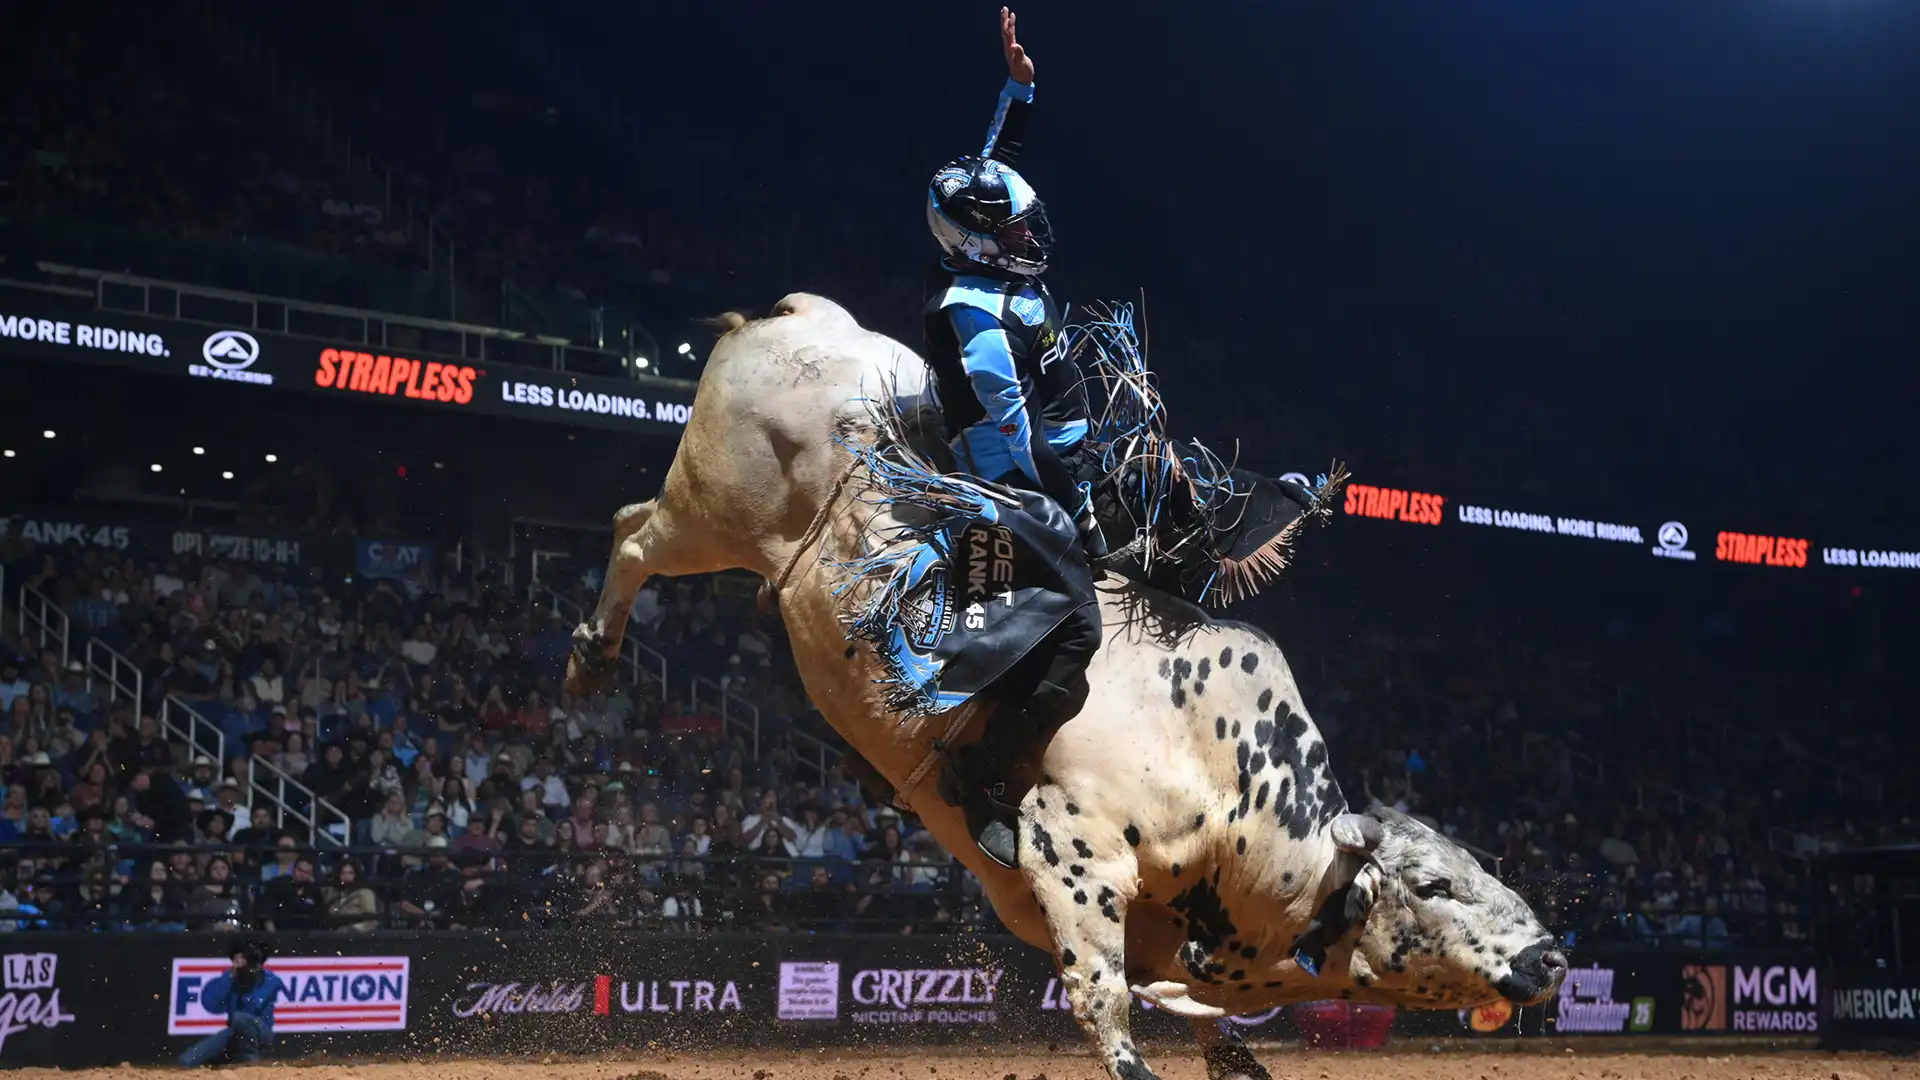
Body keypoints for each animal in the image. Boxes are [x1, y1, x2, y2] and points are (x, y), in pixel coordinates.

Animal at [566, 294, 1566, 1080]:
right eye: (1434, 885)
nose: (1553, 960)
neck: (1225, 782)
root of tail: (802, 317)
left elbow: (1192, 1009)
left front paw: (1234, 1056)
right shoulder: (1070, 858)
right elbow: (1103, 1000)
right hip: (711, 509)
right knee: (632, 533)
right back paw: (592, 655)